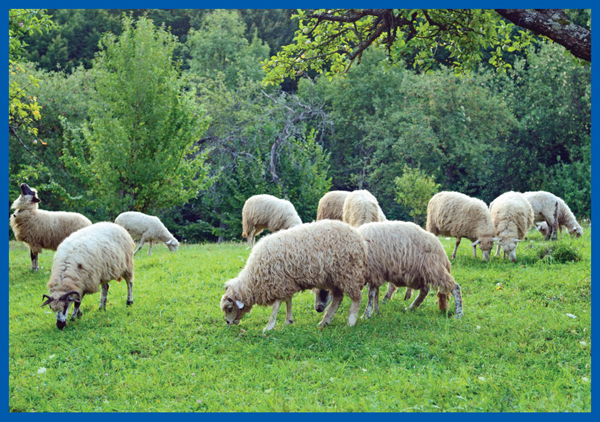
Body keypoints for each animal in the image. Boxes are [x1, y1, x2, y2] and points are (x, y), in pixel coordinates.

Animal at [220, 219, 368, 332]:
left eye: (229, 308)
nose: (227, 322)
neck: (254, 277)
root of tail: (359, 238)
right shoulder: (286, 283)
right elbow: (288, 301)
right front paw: (288, 321)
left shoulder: (279, 282)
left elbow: (277, 306)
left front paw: (269, 327)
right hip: (333, 278)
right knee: (338, 298)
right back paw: (325, 321)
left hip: (348, 273)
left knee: (356, 297)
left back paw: (351, 321)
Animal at [314, 221, 464, 320]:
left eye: (325, 289)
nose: (318, 309)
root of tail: (441, 249)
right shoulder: (374, 274)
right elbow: (375, 293)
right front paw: (375, 311)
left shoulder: (373, 271)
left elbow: (371, 295)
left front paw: (366, 315)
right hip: (422, 273)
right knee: (424, 291)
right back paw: (411, 308)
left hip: (433, 269)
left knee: (455, 287)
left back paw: (459, 314)